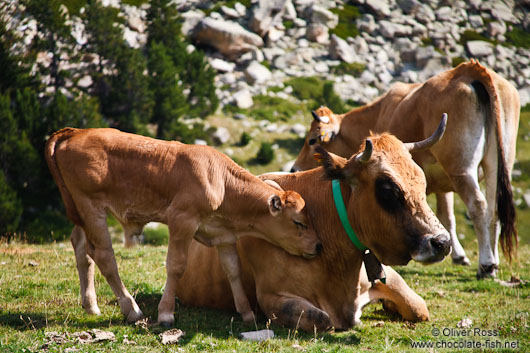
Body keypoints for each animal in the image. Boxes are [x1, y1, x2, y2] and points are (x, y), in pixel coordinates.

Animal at [45, 128, 320, 326]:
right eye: (298, 222)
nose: (318, 246)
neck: (221, 180)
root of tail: (73, 132)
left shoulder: (223, 235)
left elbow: (233, 270)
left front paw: (246, 313)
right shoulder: (182, 221)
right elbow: (176, 266)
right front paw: (166, 314)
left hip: (82, 214)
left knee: (82, 249)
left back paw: (90, 305)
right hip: (92, 209)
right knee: (103, 256)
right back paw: (131, 309)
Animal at [173, 124, 450, 330]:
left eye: (423, 182)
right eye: (388, 190)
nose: (442, 242)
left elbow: (418, 307)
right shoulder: (272, 297)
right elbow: (322, 319)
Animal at [288, 60, 516, 278]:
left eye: (312, 140)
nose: (294, 169)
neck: (381, 111)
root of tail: (470, 70)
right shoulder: (441, 184)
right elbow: (447, 216)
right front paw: (458, 255)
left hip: (461, 168)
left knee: (478, 205)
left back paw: (486, 264)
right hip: (498, 163)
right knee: (495, 209)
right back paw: (494, 261)